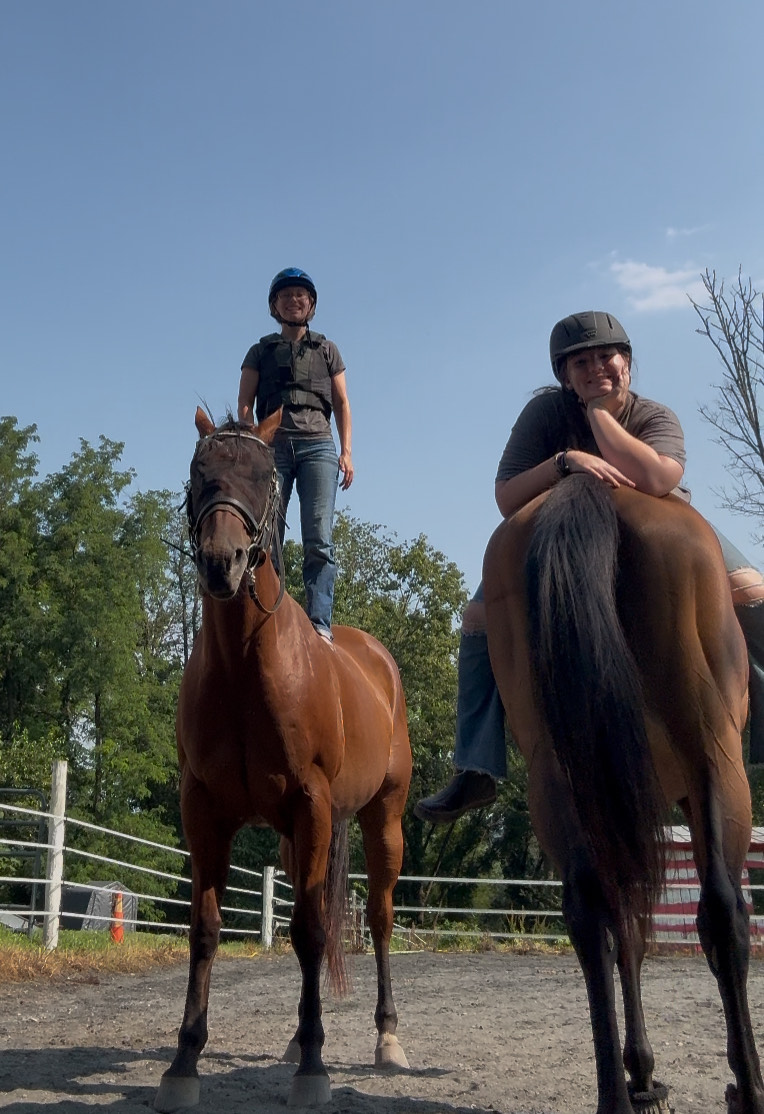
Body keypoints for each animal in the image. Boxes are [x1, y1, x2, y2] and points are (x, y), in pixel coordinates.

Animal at [154, 408, 412, 1111]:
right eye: (199, 471)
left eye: (264, 476)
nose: (223, 563)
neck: (248, 664)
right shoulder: (204, 812)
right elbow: (206, 928)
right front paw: (184, 1061)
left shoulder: (313, 806)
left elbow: (310, 932)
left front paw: (315, 1069)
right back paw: (300, 1037)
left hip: (383, 820)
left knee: (379, 918)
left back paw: (386, 1038)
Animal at [483, 473, 764, 1114]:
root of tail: (592, 488)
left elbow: (628, 930)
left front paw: (641, 1072)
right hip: (715, 761)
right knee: (724, 912)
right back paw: (750, 1088)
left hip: (558, 779)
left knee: (593, 920)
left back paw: (615, 1091)